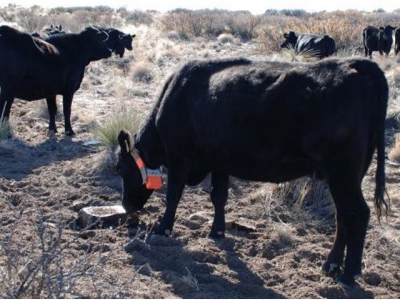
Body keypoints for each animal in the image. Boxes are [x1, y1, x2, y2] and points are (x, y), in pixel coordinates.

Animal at [117, 56, 390, 288]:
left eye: (119, 168)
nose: (127, 205)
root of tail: (353, 64)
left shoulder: (179, 159)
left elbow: (173, 195)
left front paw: (163, 228)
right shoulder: (219, 162)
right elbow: (219, 196)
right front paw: (217, 231)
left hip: (342, 173)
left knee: (358, 214)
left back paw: (349, 274)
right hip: (348, 176)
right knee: (343, 216)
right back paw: (331, 265)